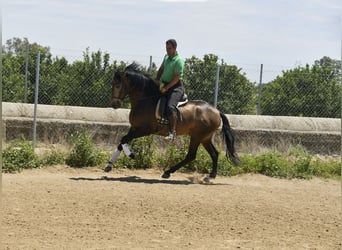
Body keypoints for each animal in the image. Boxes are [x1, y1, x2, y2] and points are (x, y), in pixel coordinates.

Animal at [104, 62, 238, 180]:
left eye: (117, 85)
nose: (114, 104)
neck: (145, 101)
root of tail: (216, 111)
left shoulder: (145, 130)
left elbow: (124, 140)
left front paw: (132, 155)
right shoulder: (134, 128)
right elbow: (122, 141)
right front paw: (109, 165)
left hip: (197, 136)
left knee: (191, 155)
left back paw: (168, 172)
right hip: (205, 137)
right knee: (214, 154)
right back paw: (210, 176)